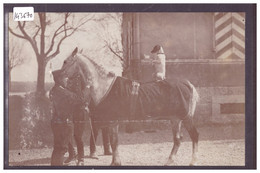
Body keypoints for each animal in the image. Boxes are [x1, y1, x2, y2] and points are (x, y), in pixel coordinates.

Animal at [61, 47, 199, 166]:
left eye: (65, 61)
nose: (61, 78)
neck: (104, 87)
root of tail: (187, 84)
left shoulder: (113, 121)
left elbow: (114, 142)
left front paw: (116, 162)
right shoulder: (112, 123)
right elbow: (114, 142)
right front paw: (115, 162)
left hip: (186, 117)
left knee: (194, 136)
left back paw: (193, 161)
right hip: (175, 119)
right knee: (177, 139)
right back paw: (169, 161)